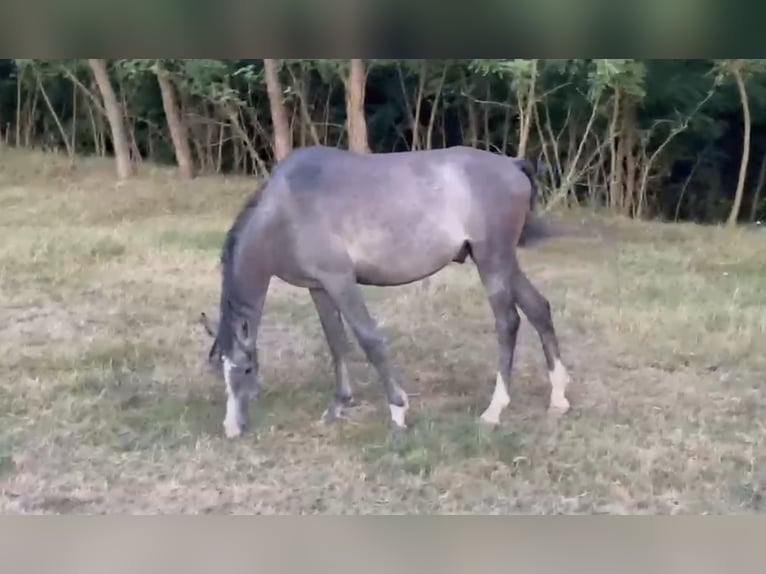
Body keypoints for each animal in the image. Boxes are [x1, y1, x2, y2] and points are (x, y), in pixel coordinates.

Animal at [200, 144, 572, 439]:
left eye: (246, 370)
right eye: (221, 370)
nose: (231, 429)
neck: (285, 211)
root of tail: (511, 164)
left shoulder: (340, 281)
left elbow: (369, 339)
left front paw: (397, 411)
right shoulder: (319, 288)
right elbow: (336, 342)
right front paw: (338, 406)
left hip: (492, 260)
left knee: (508, 322)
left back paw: (495, 409)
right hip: (503, 262)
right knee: (538, 308)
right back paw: (558, 398)